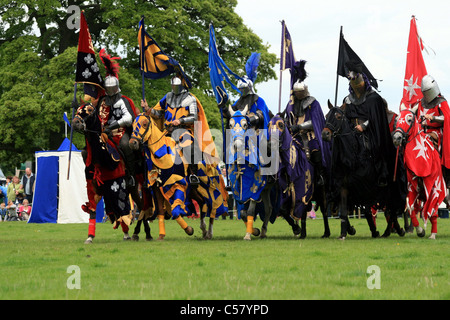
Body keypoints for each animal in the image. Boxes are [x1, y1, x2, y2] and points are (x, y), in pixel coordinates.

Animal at [72, 102, 138, 242]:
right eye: (78, 109)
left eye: (89, 110)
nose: (75, 123)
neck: (103, 160)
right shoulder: (93, 187)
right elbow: (92, 210)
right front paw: (90, 237)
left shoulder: (117, 186)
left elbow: (122, 209)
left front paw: (126, 234)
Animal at [392, 104, 444, 239]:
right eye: (397, 119)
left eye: (409, 119)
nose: (396, 138)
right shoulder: (412, 185)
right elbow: (410, 208)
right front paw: (420, 230)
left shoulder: (435, 186)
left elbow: (432, 211)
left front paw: (432, 234)